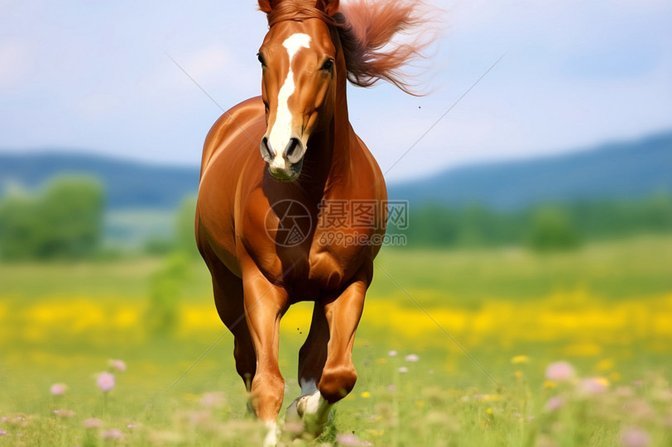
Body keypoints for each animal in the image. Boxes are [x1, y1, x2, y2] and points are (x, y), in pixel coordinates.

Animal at [195, 0, 428, 444]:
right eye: (261, 56)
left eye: (327, 62)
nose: (281, 151)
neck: (315, 198)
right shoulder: (261, 286)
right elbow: (267, 383)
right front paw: (281, 424)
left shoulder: (349, 282)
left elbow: (336, 375)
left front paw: (303, 417)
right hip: (224, 287)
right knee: (246, 361)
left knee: (311, 358)